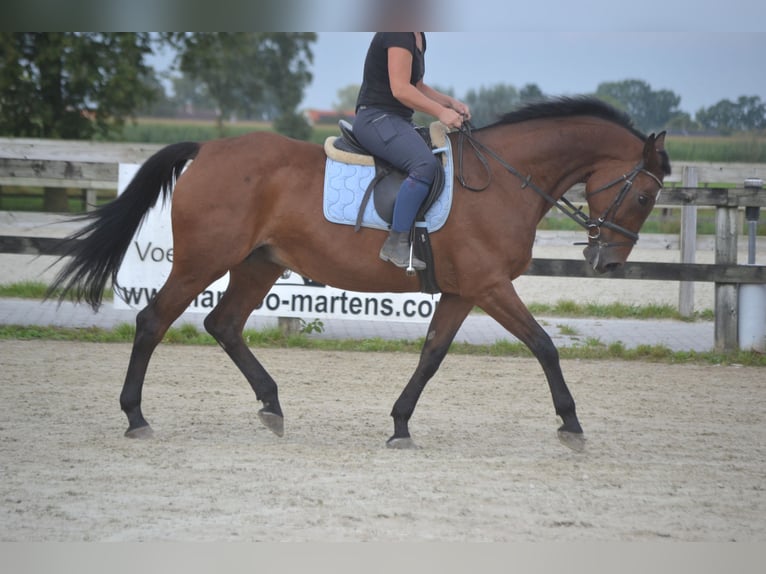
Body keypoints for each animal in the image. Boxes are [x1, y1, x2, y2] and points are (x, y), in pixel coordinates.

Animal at [49, 97, 672, 452]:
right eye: (644, 195)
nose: (608, 262)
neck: (501, 179)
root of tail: (209, 148)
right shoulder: (491, 286)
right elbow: (544, 345)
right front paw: (571, 424)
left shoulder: (462, 291)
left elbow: (432, 354)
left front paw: (400, 425)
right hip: (204, 260)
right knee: (153, 321)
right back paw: (136, 416)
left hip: (258, 264)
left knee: (223, 324)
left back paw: (271, 406)